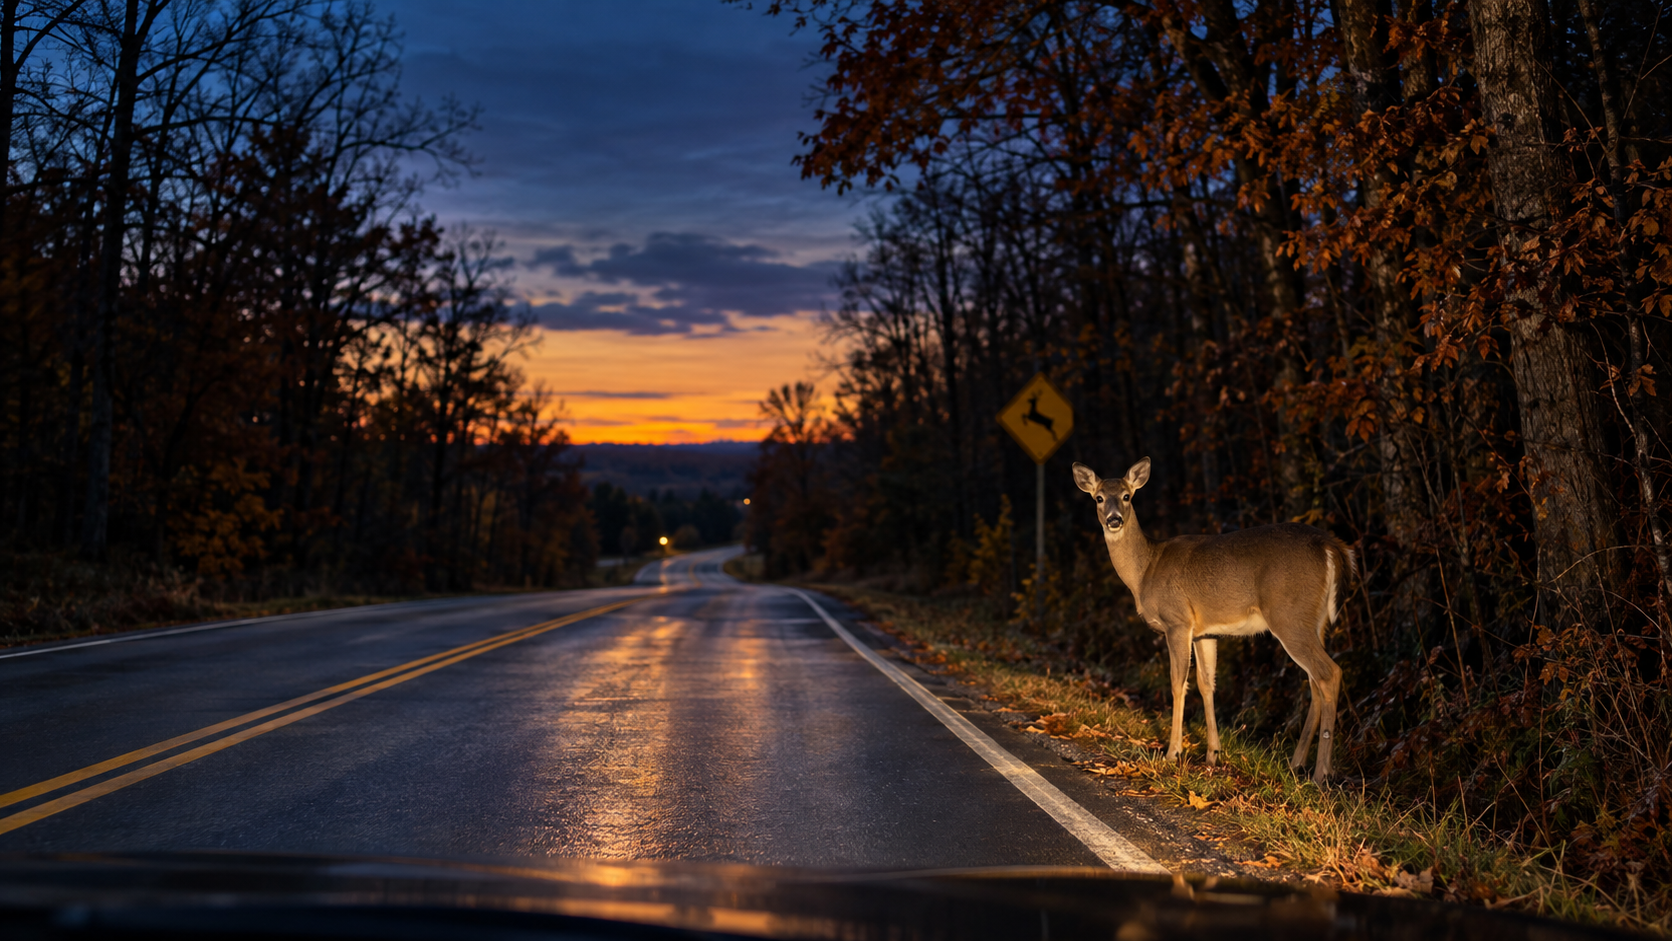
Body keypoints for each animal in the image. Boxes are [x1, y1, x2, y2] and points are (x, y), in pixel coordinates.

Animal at [1072, 458, 1353, 784]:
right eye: (1099, 498)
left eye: (1127, 496)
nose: (1114, 519)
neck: (1145, 570)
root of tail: (1331, 547)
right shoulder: (1204, 632)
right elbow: (1206, 684)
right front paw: (1212, 755)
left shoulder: (1177, 621)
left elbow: (1177, 683)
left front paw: (1172, 753)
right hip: (1314, 621)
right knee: (1314, 682)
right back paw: (1297, 764)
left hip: (1289, 616)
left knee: (1329, 673)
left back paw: (1321, 774)